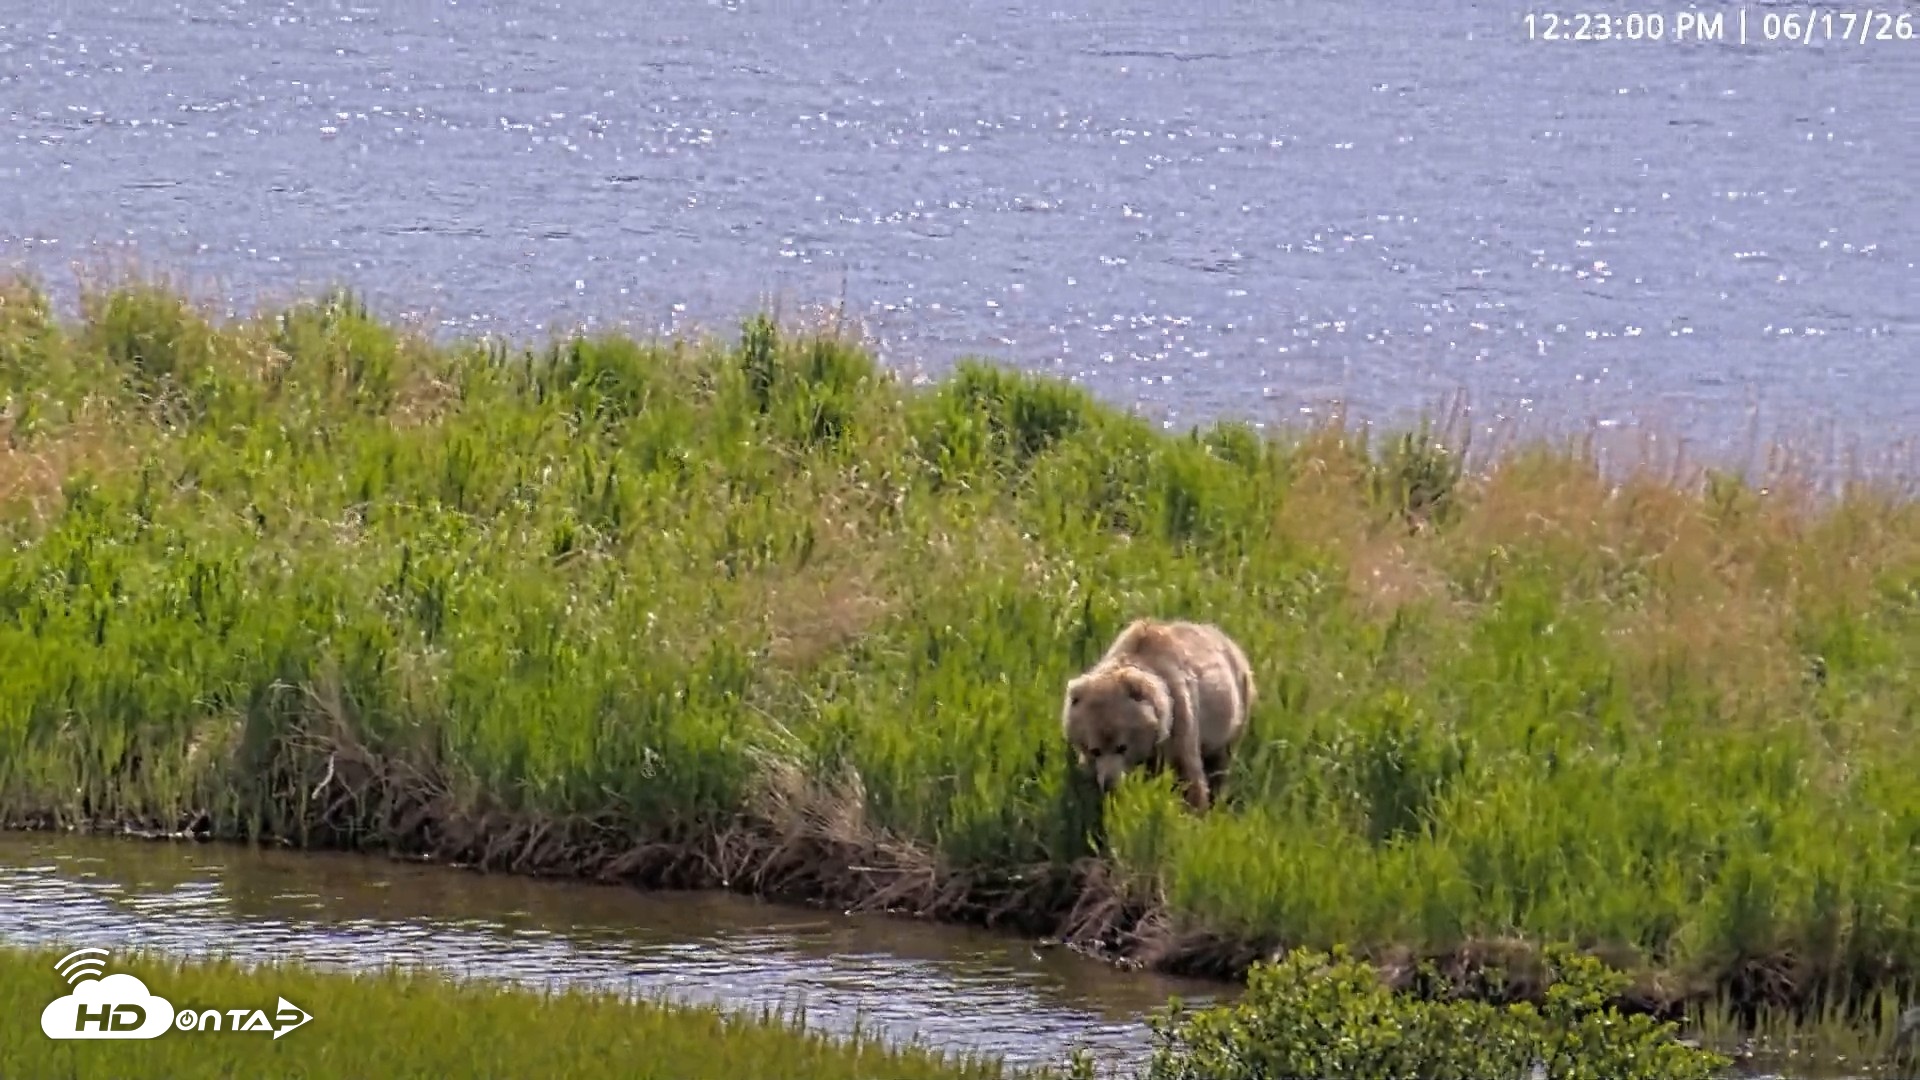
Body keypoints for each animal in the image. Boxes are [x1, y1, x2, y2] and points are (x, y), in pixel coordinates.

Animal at [1060, 617, 1256, 814]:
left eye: (1122, 747)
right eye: (1095, 750)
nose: (1110, 784)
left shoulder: (1179, 716)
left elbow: (1186, 773)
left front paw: (1194, 809)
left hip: (1234, 709)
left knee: (1220, 762)